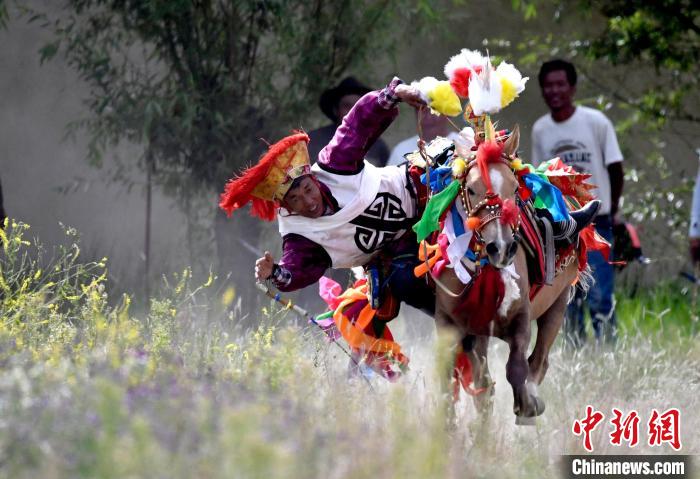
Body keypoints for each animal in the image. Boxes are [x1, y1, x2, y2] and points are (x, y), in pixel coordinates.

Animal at [432, 126, 584, 424]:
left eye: (514, 188)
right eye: (471, 189)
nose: (501, 247)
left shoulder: (521, 316)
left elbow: (517, 368)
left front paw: (527, 404)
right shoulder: (450, 323)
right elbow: (450, 384)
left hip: (557, 303)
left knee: (539, 359)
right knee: (483, 384)